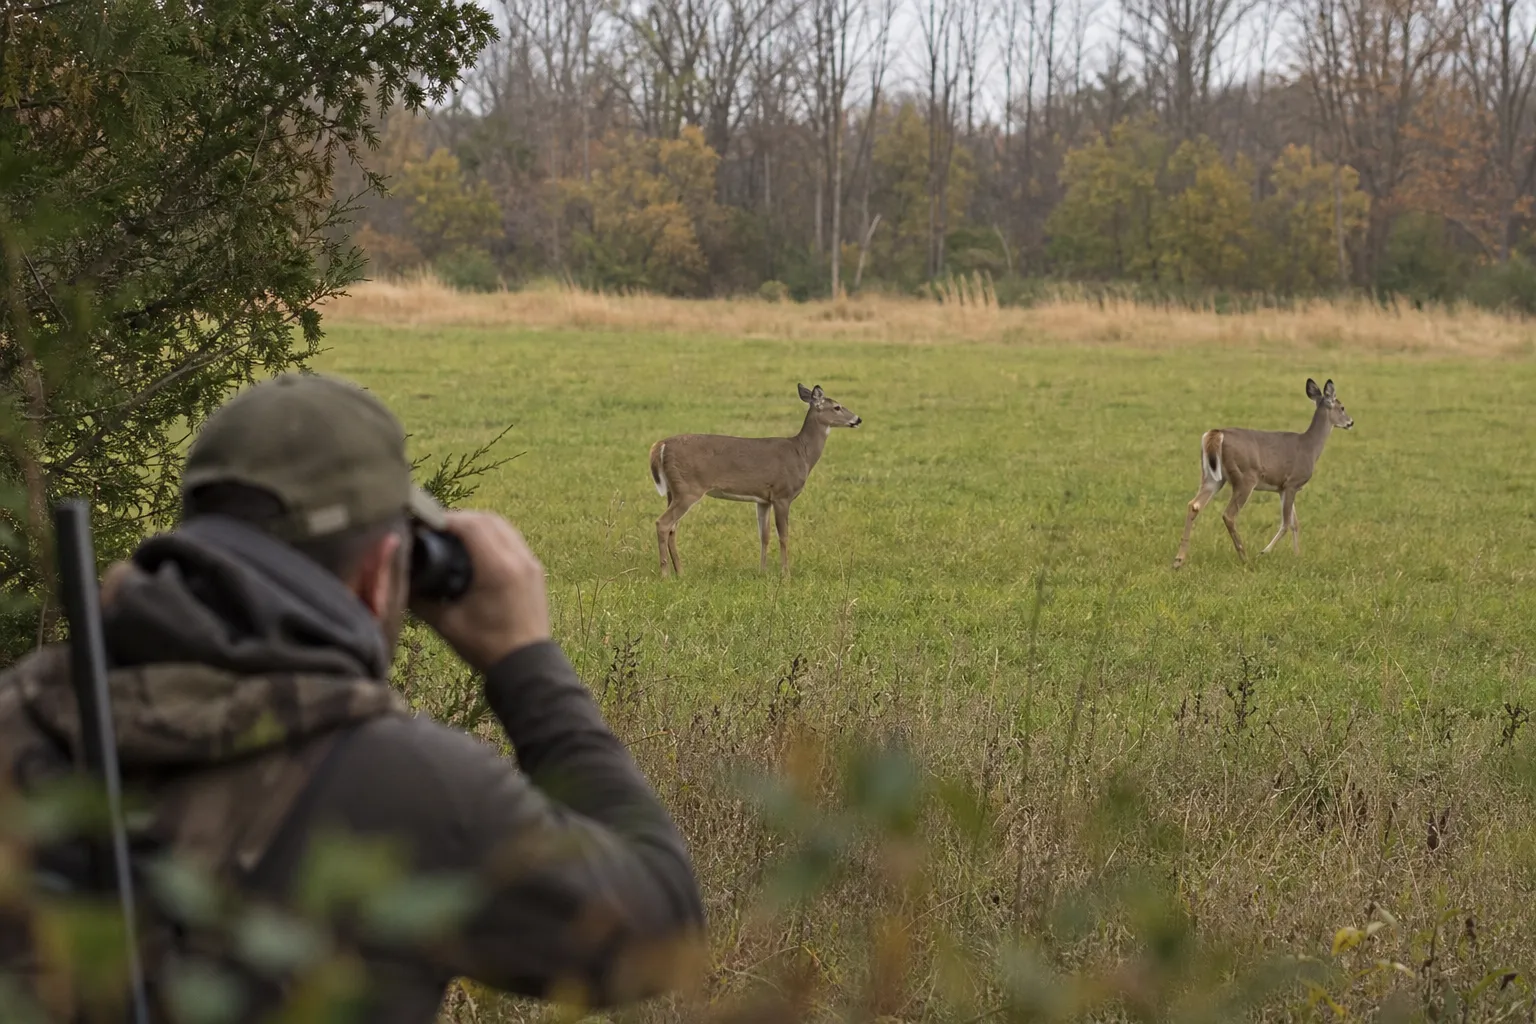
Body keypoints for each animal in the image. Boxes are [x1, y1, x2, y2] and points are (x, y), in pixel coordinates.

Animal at [648, 383, 862, 578]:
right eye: (837, 407)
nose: (858, 419)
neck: (802, 453)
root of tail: (661, 445)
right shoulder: (782, 494)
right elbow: (783, 536)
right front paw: (786, 574)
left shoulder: (763, 499)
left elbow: (764, 536)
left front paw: (763, 571)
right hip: (688, 488)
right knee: (663, 523)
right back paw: (665, 574)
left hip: (674, 490)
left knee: (672, 528)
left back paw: (681, 571)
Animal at [1172, 378, 1354, 570]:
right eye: (1342, 407)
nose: (1351, 422)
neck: (1310, 447)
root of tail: (1216, 434)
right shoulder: (1292, 482)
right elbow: (1286, 523)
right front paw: (1264, 552)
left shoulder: (1283, 488)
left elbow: (1295, 523)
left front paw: (1298, 556)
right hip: (1245, 478)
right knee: (1229, 515)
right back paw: (1245, 558)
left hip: (1212, 476)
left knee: (1194, 505)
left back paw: (1178, 560)